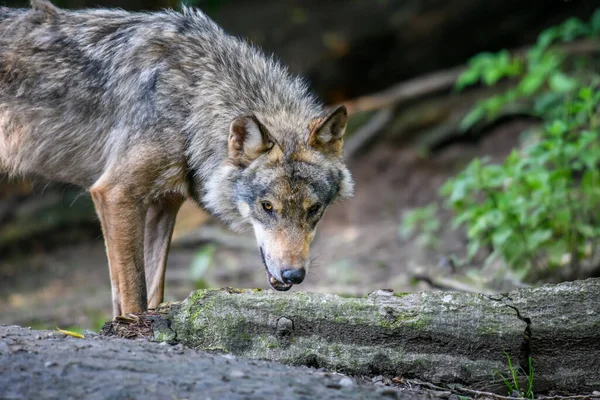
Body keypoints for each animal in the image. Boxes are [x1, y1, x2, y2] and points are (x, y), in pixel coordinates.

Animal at [0, 1, 354, 318]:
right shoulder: (115, 194)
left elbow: (152, 289)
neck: (192, 100)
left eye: (314, 209)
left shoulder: (164, 203)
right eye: (267, 206)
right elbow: (133, 291)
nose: (294, 275)